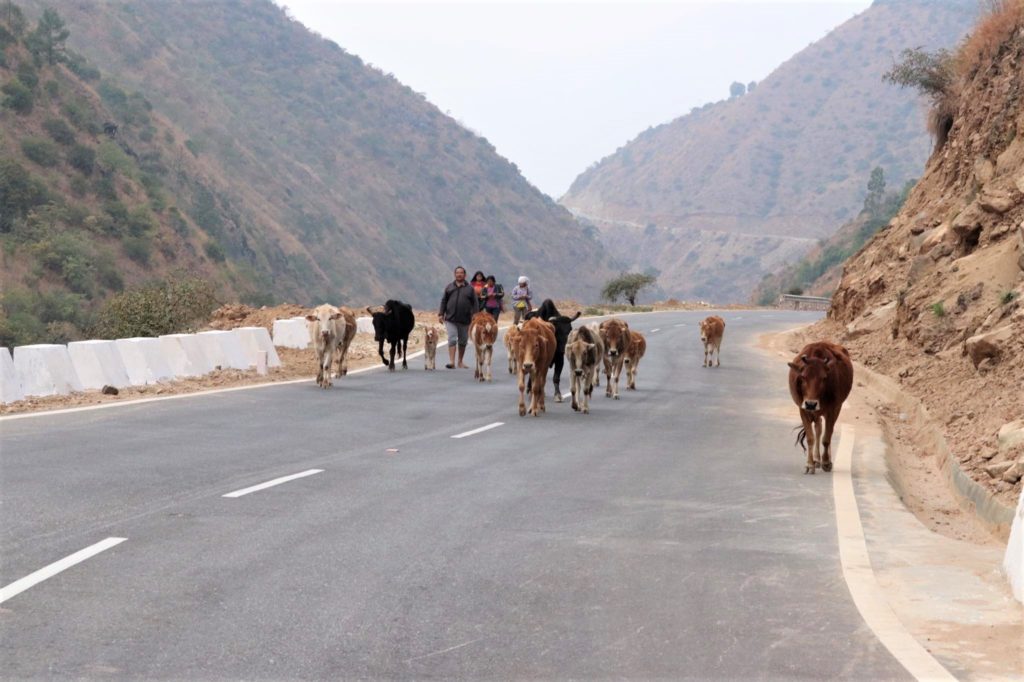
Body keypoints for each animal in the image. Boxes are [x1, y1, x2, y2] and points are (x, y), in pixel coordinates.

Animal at [786, 339, 851, 473]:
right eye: (803, 376)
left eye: (824, 378)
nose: (811, 403)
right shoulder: (803, 409)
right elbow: (810, 438)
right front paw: (810, 464)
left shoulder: (832, 410)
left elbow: (826, 438)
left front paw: (826, 462)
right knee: (818, 428)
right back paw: (816, 459)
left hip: (835, 409)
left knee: (827, 432)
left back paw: (825, 460)